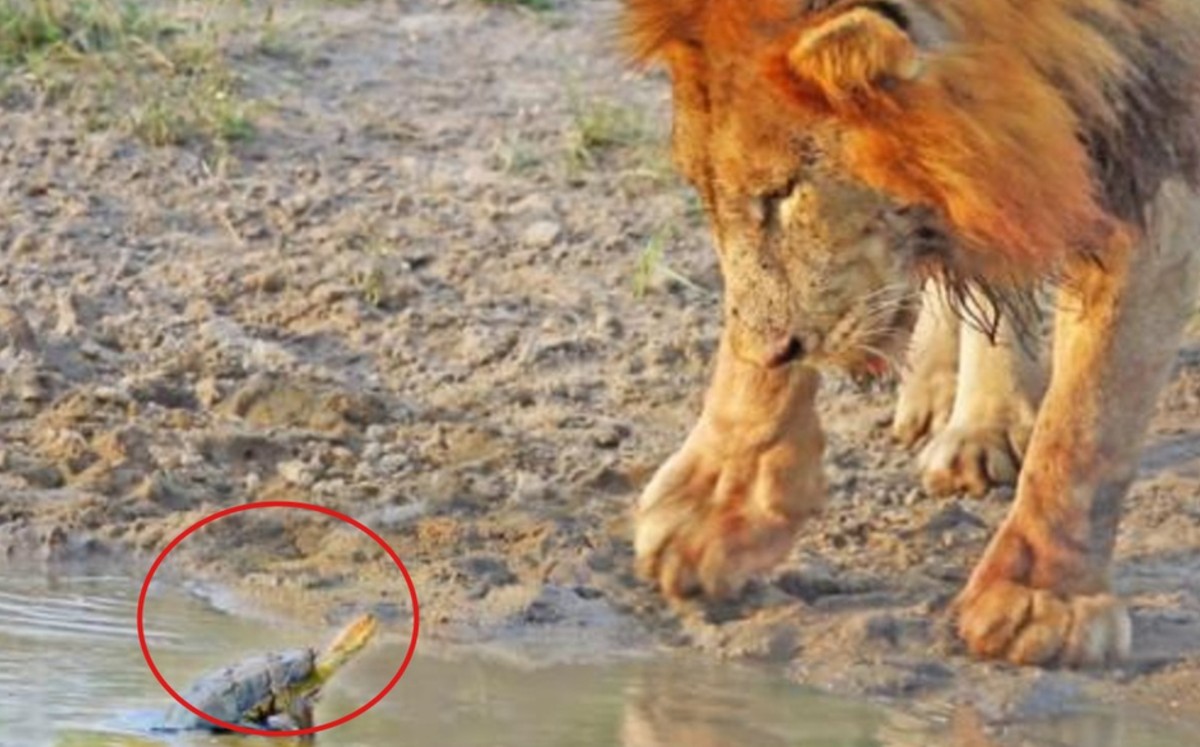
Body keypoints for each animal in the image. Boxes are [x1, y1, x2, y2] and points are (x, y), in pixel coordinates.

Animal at [623, 0, 1200, 667]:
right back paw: (968, 417)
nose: (769, 353)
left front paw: (1040, 600)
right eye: (705, 192)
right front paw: (718, 504)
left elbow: (1088, 419)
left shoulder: (1155, 148)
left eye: (784, 192)